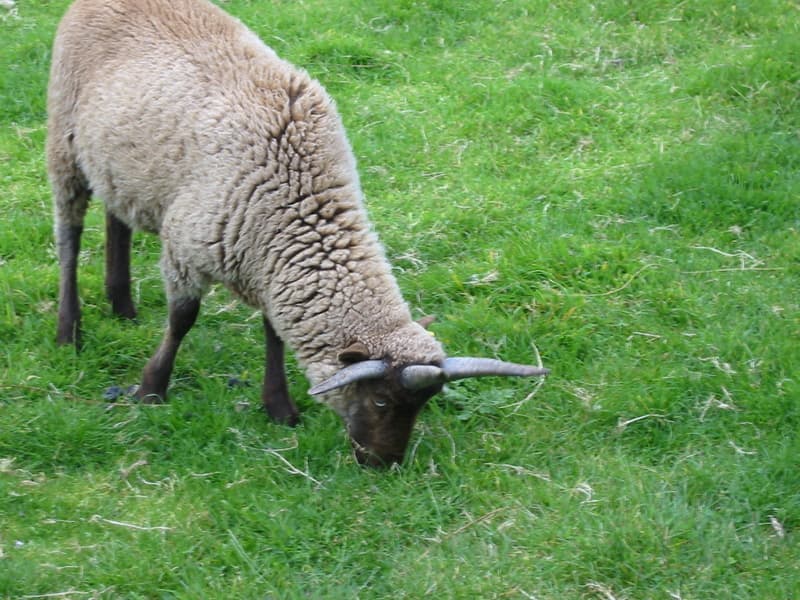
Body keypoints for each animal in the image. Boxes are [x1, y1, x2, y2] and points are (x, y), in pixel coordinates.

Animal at [48, 0, 549, 466]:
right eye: (381, 399)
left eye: (422, 405)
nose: (383, 464)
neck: (300, 199)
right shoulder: (188, 249)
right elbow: (182, 320)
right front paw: (152, 389)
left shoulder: (268, 262)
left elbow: (274, 332)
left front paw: (279, 407)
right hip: (64, 140)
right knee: (69, 237)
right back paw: (68, 331)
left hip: (120, 167)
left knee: (116, 218)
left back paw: (122, 304)